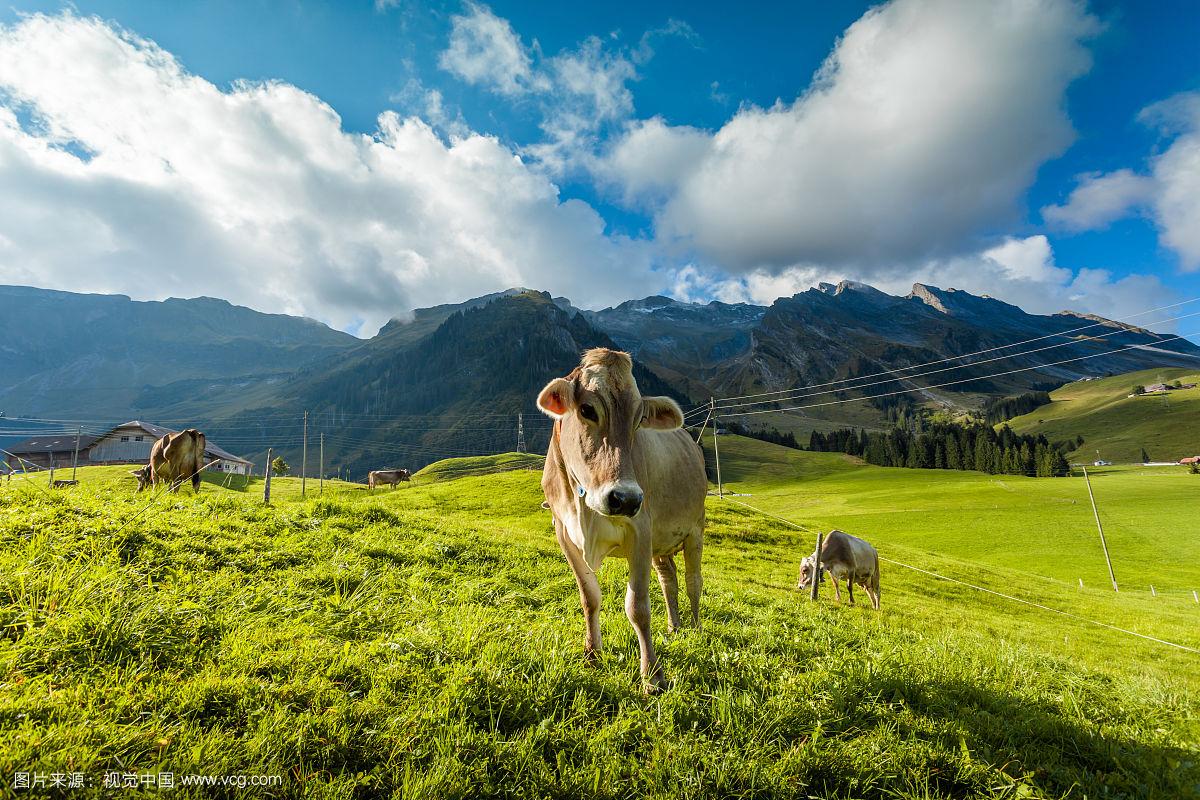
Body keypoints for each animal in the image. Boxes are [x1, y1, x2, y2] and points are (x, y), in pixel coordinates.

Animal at [540, 350, 705, 695]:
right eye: (587, 409)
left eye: (639, 419)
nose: (625, 498)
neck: (584, 505)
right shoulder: (563, 533)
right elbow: (589, 597)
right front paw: (592, 654)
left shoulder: (640, 531)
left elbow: (638, 607)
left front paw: (652, 675)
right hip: (661, 543)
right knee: (669, 580)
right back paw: (674, 626)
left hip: (695, 528)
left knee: (693, 581)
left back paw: (695, 628)